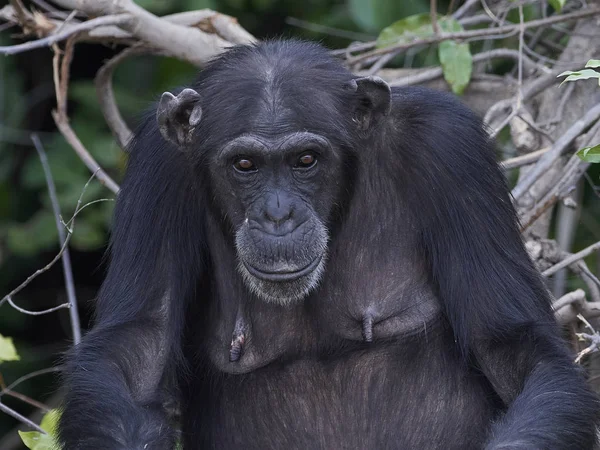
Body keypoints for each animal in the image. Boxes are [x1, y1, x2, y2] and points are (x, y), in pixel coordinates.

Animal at [57, 38, 600, 450]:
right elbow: (138, 347)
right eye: (245, 165)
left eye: (306, 160)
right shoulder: (157, 164)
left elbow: (511, 345)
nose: (278, 215)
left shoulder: (451, 148)